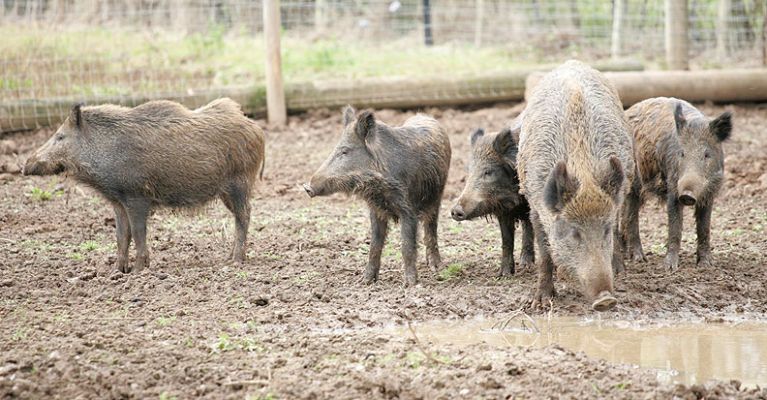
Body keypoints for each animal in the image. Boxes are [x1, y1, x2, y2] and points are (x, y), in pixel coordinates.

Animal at [23, 98, 265, 273]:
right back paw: (228, 257)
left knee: (244, 215)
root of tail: (256, 127)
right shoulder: (118, 202)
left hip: (239, 184)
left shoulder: (137, 196)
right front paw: (116, 272)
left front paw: (138, 271)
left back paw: (235, 261)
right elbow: (122, 235)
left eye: (60, 137)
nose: (25, 166)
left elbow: (139, 232)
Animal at [303, 106, 451, 286]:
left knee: (431, 228)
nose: (307, 187)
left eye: (345, 151)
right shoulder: (376, 209)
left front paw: (410, 284)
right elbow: (374, 244)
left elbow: (407, 246)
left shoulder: (408, 208)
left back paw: (437, 268)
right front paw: (364, 281)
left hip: (437, 196)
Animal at [451, 119, 535, 277]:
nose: (455, 211)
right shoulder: (502, 210)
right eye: (469, 171)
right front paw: (504, 275)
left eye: (488, 172)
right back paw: (525, 265)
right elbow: (506, 240)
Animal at [518, 60, 635, 311]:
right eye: (574, 232)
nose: (606, 300)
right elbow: (545, 253)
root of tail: (571, 62)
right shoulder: (535, 205)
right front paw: (540, 303)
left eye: (605, 230)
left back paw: (620, 269)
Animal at [622, 97, 732, 270]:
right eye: (682, 153)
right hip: (633, 182)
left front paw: (706, 265)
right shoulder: (673, 186)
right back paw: (639, 259)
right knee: (631, 214)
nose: (687, 194)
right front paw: (669, 268)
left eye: (707, 154)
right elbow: (675, 226)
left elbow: (704, 227)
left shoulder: (709, 193)